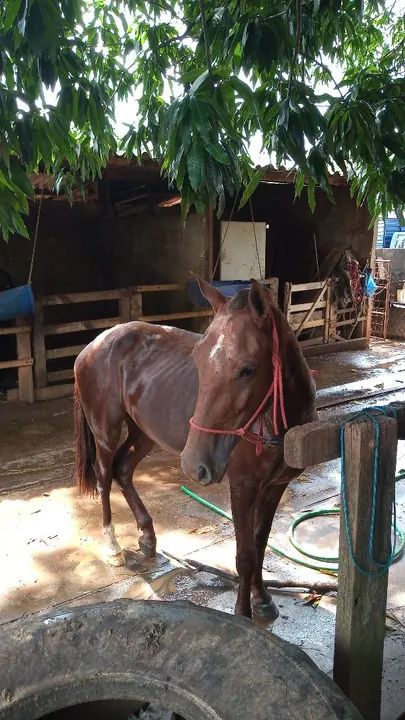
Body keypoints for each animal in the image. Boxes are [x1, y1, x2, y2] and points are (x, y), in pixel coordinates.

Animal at [73, 278, 316, 620]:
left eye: (248, 369)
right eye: (199, 360)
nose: (194, 464)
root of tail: (94, 344)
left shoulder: (275, 486)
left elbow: (260, 543)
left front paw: (262, 599)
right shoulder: (243, 486)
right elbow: (245, 555)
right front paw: (242, 615)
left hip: (144, 432)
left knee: (123, 470)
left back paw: (147, 537)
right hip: (105, 432)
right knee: (105, 477)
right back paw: (113, 546)